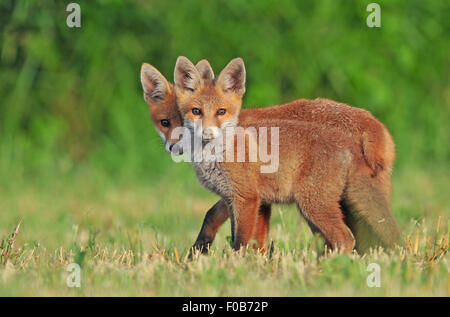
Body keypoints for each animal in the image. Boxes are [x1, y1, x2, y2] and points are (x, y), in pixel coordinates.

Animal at [139, 58, 400, 252]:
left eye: (184, 119)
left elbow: (226, 226)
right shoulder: (253, 199)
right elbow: (249, 236)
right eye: (165, 122)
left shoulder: (247, 195)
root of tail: (374, 124)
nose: (175, 147)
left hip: (316, 201)